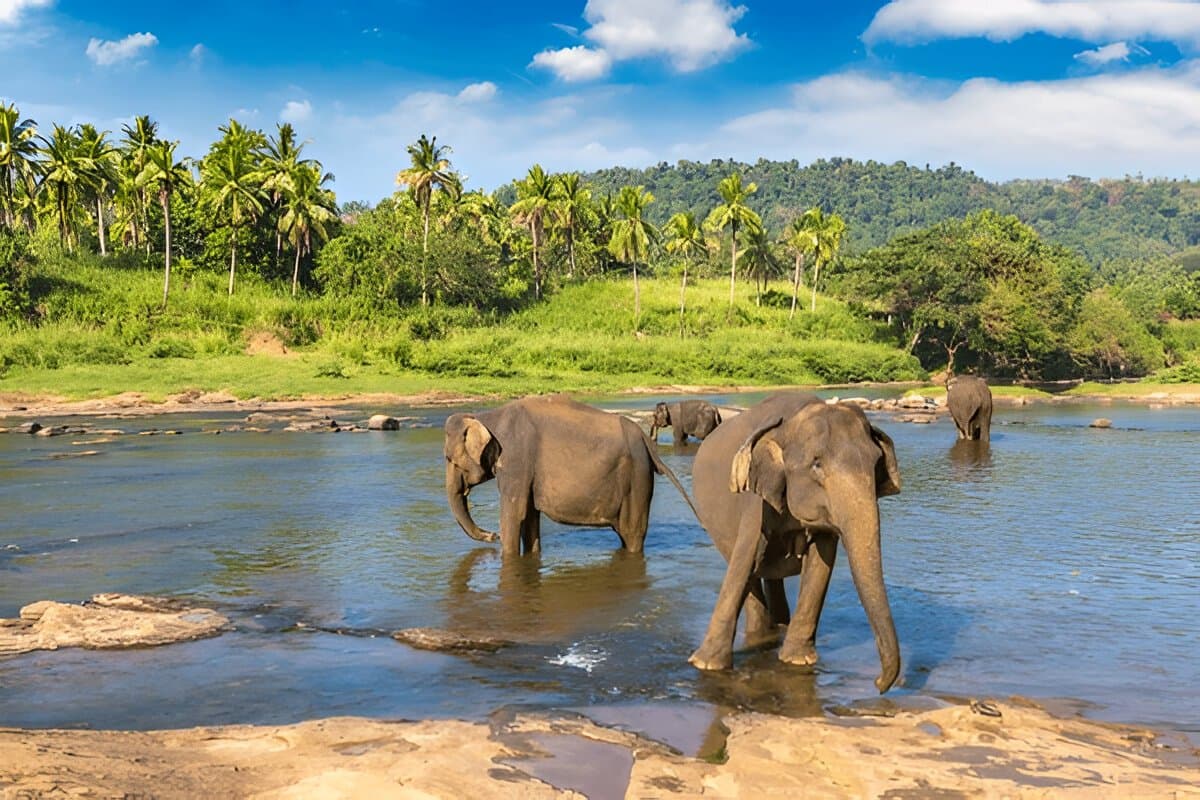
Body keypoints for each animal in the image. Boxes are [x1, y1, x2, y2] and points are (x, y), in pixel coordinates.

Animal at [444, 394, 697, 556]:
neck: (486, 417)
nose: (492, 535)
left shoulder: (516, 460)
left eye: (449, 459)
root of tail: (646, 441)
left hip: (637, 480)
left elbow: (514, 515)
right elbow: (529, 517)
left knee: (632, 534)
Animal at [687, 393, 903, 694]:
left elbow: (821, 564)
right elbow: (746, 558)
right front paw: (706, 665)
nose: (878, 684)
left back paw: (778, 627)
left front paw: (797, 660)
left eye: (876, 463)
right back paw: (761, 633)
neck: (792, 421)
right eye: (816, 464)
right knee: (747, 569)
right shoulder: (755, 498)